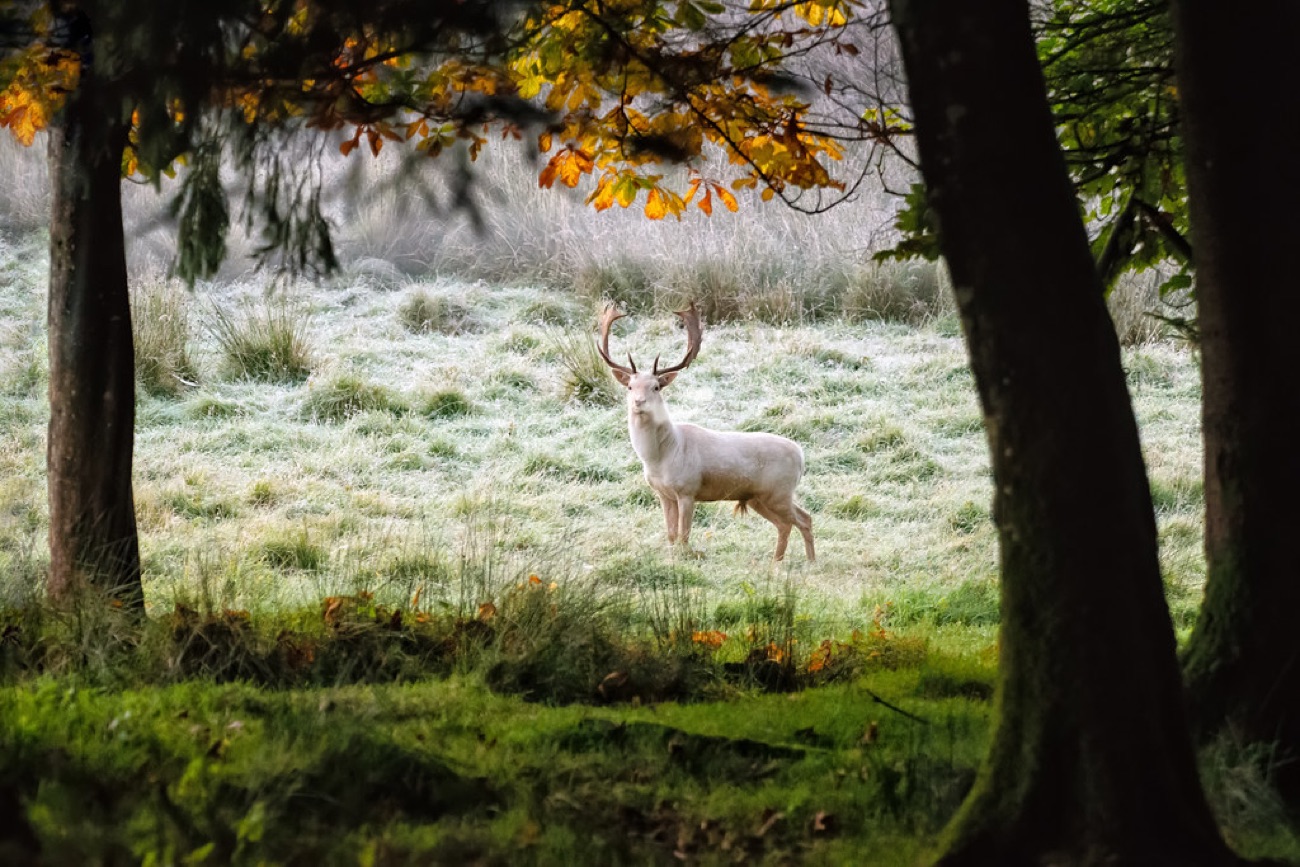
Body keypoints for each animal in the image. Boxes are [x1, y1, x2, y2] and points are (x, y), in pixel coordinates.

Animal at [596, 302, 815, 562]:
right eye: (630, 386)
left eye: (656, 387)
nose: (639, 402)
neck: (662, 455)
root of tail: (801, 455)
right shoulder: (663, 494)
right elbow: (671, 534)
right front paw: (671, 558)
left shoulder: (687, 489)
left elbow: (683, 535)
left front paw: (683, 560)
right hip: (759, 497)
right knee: (786, 524)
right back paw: (777, 562)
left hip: (779, 491)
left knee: (804, 519)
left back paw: (809, 562)